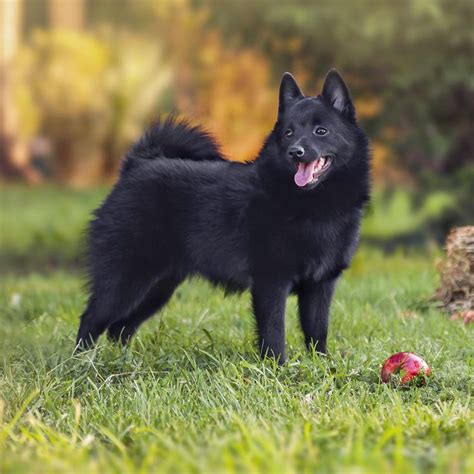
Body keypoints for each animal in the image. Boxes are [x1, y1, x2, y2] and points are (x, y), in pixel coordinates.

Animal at [76, 68, 370, 362]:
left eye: (321, 131)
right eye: (288, 133)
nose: (295, 152)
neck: (312, 206)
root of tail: (136, 165)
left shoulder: (320, 286)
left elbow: (317, 331)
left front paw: (322, 364)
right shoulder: (271, 282)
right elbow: (274, 332)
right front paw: (277, 366)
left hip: (158, 287)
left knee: (121, 327)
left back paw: (124, 360)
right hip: (127, 279)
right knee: (91, 318)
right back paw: (81, 362)